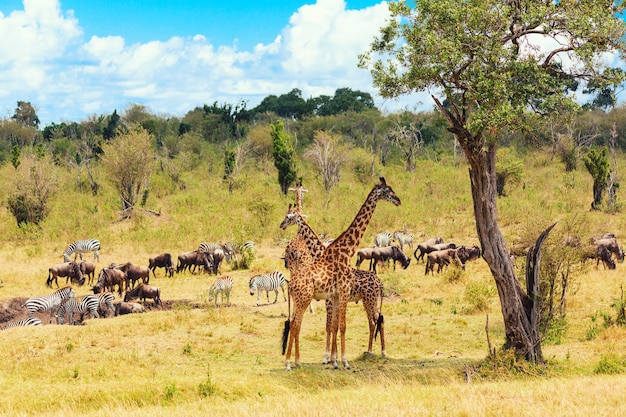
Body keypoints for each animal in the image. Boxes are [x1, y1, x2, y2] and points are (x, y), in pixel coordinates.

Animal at [280, 177, 398, 368]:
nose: (398, 200)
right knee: (296, 324)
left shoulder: (334, 297)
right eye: (388, 191)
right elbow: (337, 326)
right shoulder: (337, 296)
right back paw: (291, 362)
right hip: (308, 299)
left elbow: (334, 326)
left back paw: (378, 352)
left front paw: (333, 359)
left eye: (288, 216)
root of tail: (380, 282)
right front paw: (338, 360)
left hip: (368, 300)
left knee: (376, 320)